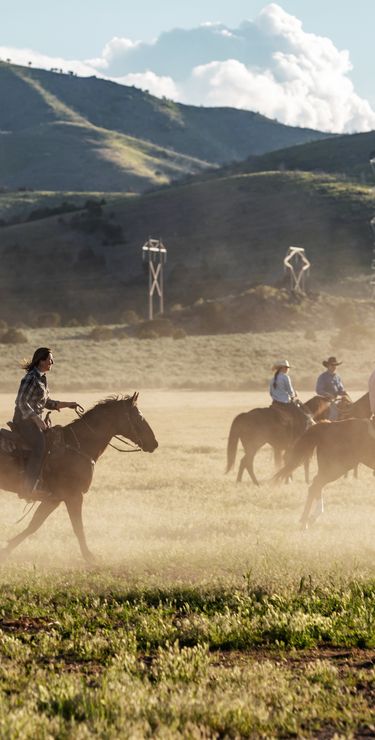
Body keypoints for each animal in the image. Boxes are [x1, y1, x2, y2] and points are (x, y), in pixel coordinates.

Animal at [0, 396, 157, 564]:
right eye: (139, 417)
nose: (154, 443)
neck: (78, 445)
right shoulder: (73, 496)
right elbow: (78, 527)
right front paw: (89, 557)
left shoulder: (54, 499)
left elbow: (33, 525)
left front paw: (6, 549)